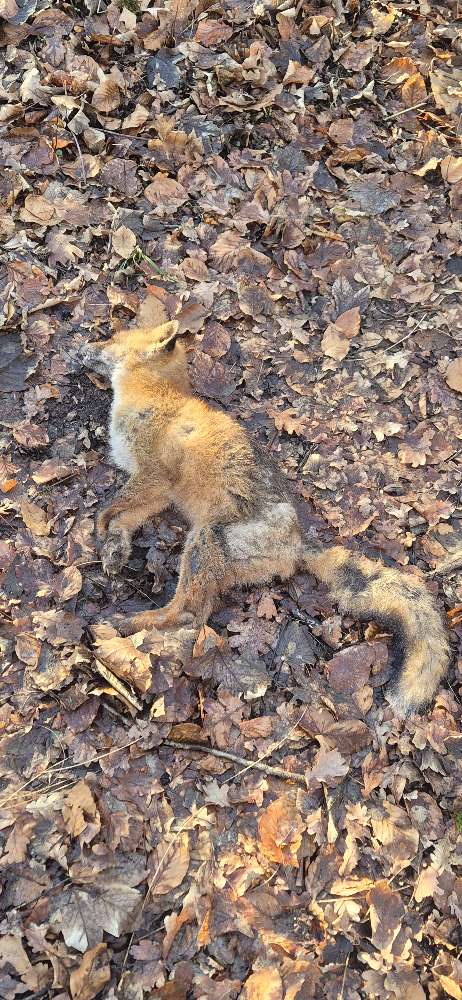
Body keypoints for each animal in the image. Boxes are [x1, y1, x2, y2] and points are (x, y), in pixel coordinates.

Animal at [76, 320, 449, 716]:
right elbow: (125, 519)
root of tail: (301, 542)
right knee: (199, 612)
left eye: (111, 339)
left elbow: (111, 506)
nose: (80, 345)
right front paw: (114, 547)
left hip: (205, 539)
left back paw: (128, 625)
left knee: (190, 614)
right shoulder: (159, 491)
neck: (154, 395)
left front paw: (101, 526)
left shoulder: (154, 475)